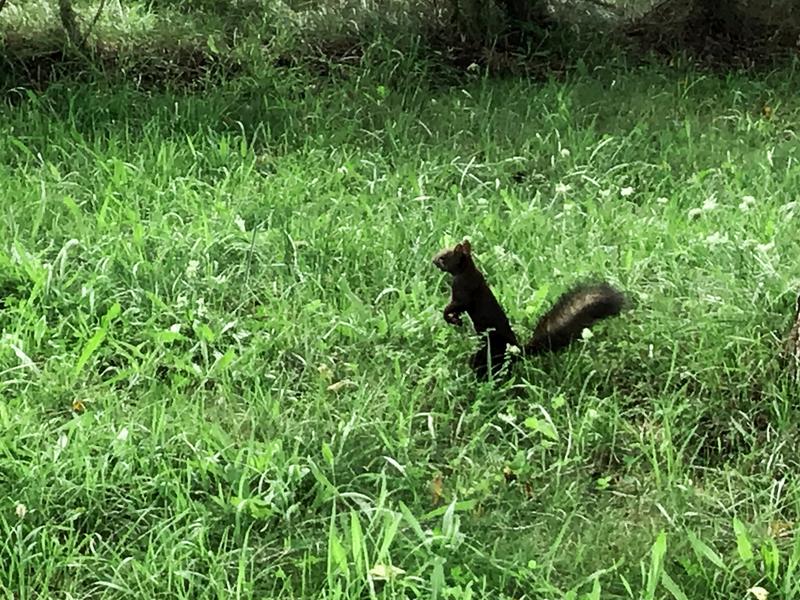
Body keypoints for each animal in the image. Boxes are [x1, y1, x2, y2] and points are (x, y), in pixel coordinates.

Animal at [432, 240, 624, 378]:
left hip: (487, 354)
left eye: (444, 257)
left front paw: (448, 316)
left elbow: (454, 305)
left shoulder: (463, 292)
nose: (433, 260)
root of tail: (517, 351)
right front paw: (456, 319)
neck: (467, 271)